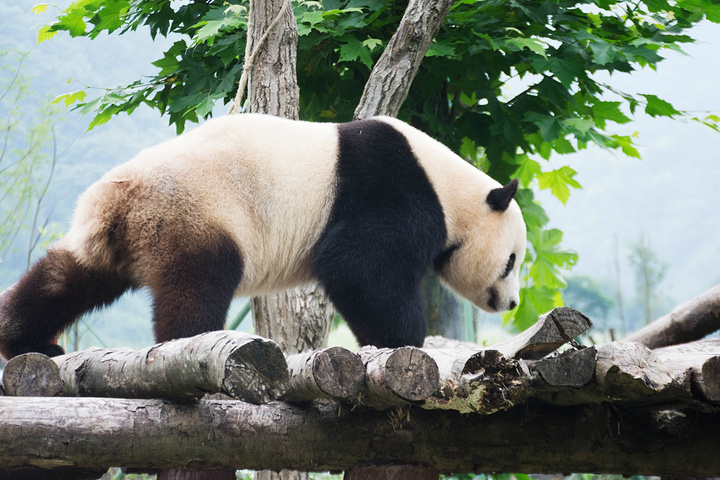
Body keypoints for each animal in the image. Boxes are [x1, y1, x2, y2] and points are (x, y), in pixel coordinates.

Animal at [0, 114, 524, 358]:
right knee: (197, 285)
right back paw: (189, 341)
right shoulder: (387, 185)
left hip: (111, 237)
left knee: (64, 279)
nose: (513, 303)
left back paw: (25, 340)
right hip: (196, 213)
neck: (449, 187)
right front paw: (403, 342)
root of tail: (121, 200)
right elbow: (358, 267)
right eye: (512, 261)